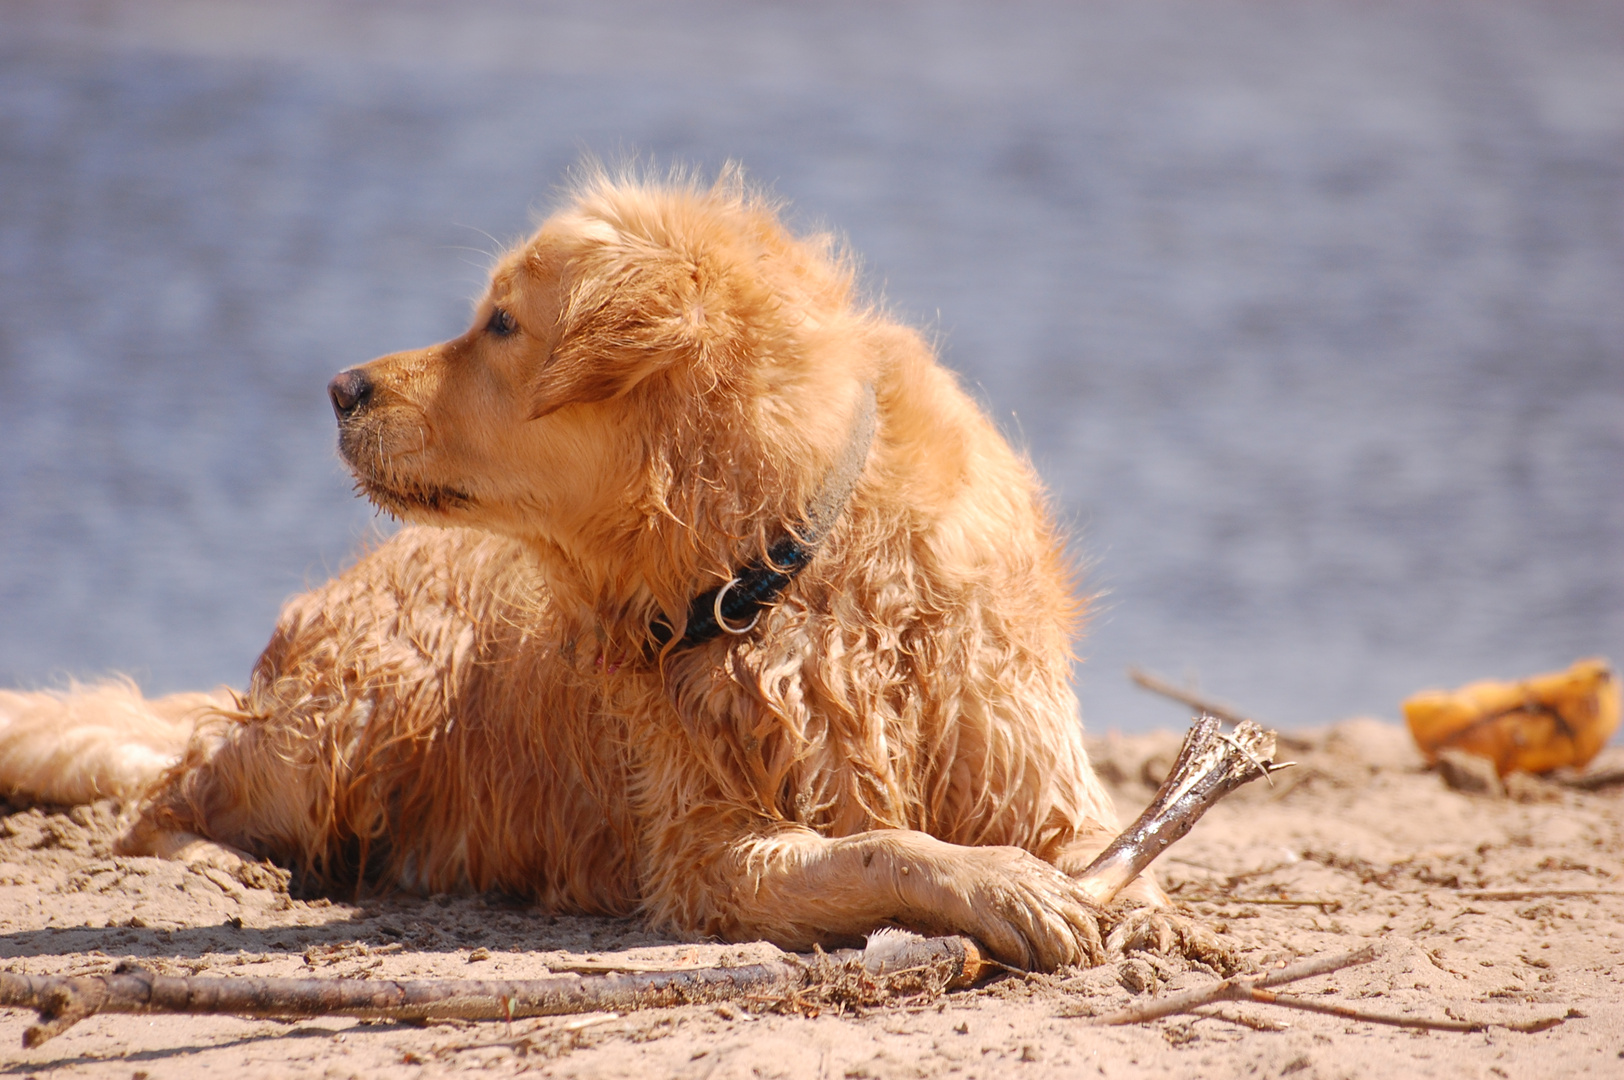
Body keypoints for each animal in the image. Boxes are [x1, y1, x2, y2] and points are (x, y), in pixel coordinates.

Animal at [0, 166, 1169, 967]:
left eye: (501, 323)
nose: (339, 387)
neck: (778, 564)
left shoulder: (1043, 772)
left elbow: (1103, 853)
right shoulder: (709, 854)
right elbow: (886, 845)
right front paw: (1006, 886)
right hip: (350, 717)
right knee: (169, 793)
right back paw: (216, 861)